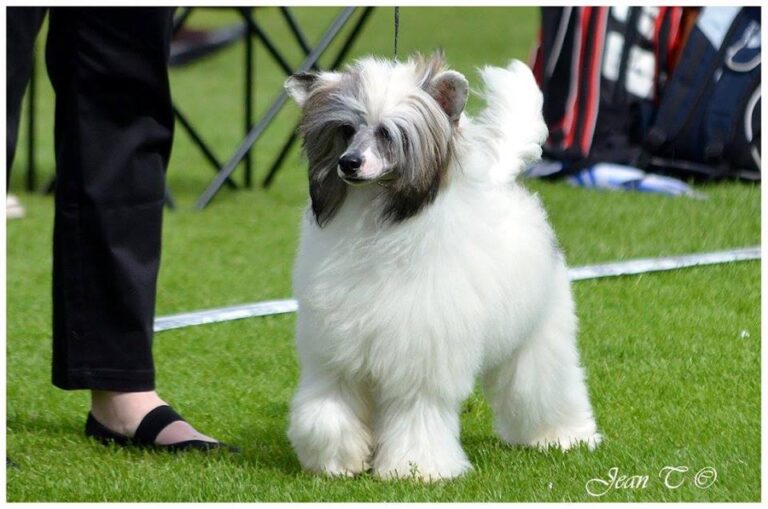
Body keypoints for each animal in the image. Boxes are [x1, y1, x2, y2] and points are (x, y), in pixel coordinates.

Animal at [284, 51, 604, 480]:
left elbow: (416, 415)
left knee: (544, 382)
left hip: (540, 333)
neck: (376, 217)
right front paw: (336, 460)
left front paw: (415, 469)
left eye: (388, 134)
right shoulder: (337, 354)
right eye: (346, 130)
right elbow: (328, 409)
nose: (349, 163)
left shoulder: (421, 360)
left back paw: (562, 435)